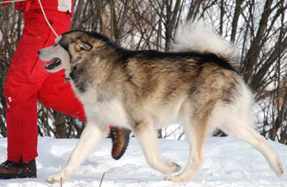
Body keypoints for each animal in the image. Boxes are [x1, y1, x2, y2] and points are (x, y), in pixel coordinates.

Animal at [37, 19, 284, 183]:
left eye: (57, 43)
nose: (38, 51)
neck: (96, 66)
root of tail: (220, 61)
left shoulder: (141, 123)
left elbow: (152, 159)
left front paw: (170, 167)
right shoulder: (97, 125)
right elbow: (74, 155)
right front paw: (59, 176)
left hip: (193, 120)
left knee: (198, 157)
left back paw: (178, 178)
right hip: (229, 122)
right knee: (261, 141)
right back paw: (278, 167)